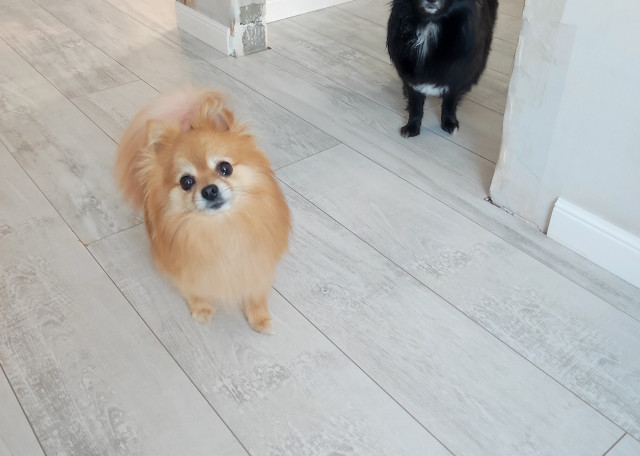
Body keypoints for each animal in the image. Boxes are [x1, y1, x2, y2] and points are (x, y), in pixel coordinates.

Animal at [115, 88, 290, 333]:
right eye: (186, 182)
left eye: (225, 168)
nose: (209, 190)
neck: (221, 227)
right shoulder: (187, 270)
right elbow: (195, 290)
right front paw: (202, 309)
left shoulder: (256, 264)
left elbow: (256, 293)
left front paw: (260, 317)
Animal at [387, 0, 497, 136]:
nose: (431, 1)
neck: (430, 24)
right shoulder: (411, 74)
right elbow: (415, 102)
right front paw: (412, 126)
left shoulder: (457, 74)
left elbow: (450, 100)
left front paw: (449, 123)